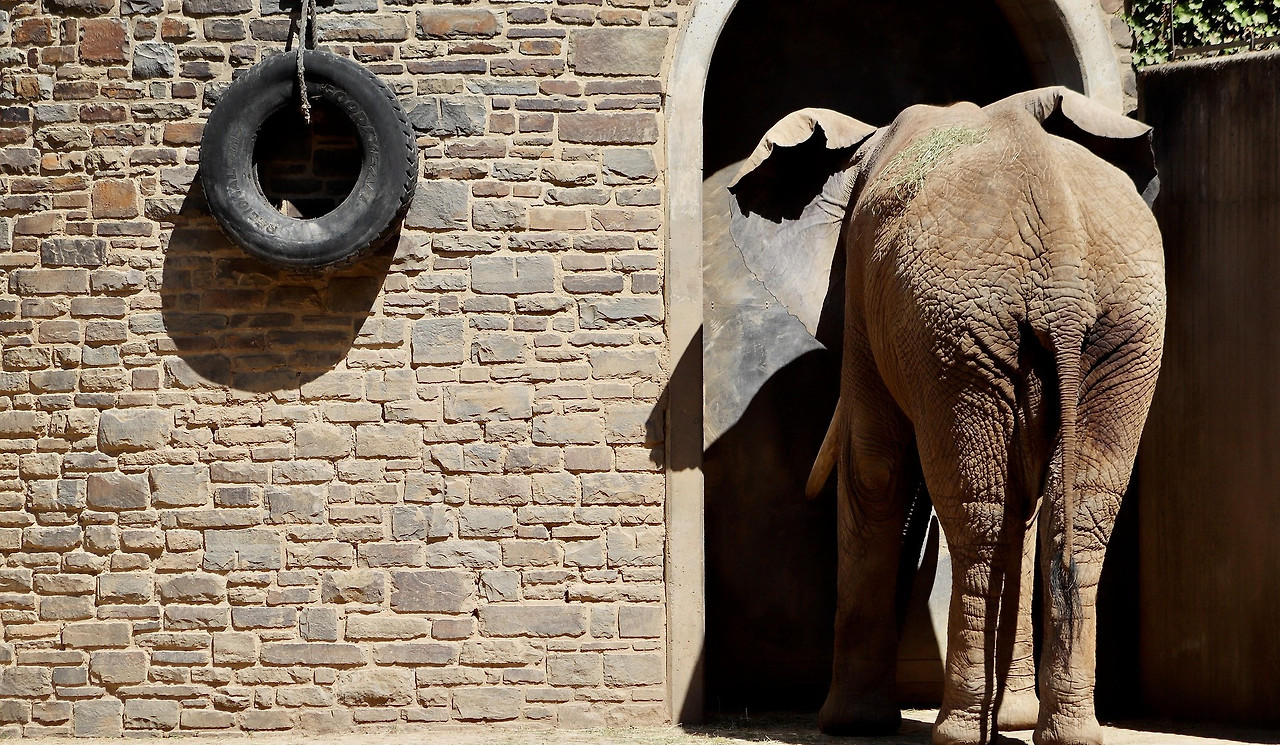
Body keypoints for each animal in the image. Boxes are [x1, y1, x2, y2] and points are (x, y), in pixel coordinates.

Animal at [724, 87, 1165, 745]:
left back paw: (957, 732)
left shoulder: (863, 285)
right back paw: (1067, 733)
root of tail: (1062, 265)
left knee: (980, 512)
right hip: (1110, 330)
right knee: (1073, 516)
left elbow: (875, 468)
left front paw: (847, 725)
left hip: (963, 328)